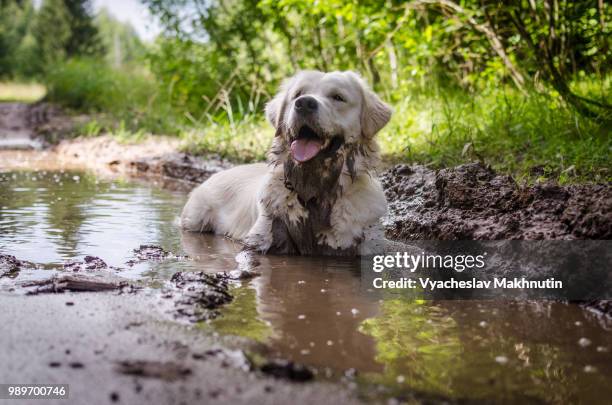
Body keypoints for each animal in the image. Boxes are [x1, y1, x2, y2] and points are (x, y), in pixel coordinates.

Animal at [180, 69, 392, 252]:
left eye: (338, 97)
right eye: (298, 94)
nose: (304, 103)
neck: (314, 193)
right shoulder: (262, 236)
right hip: (194, 218)